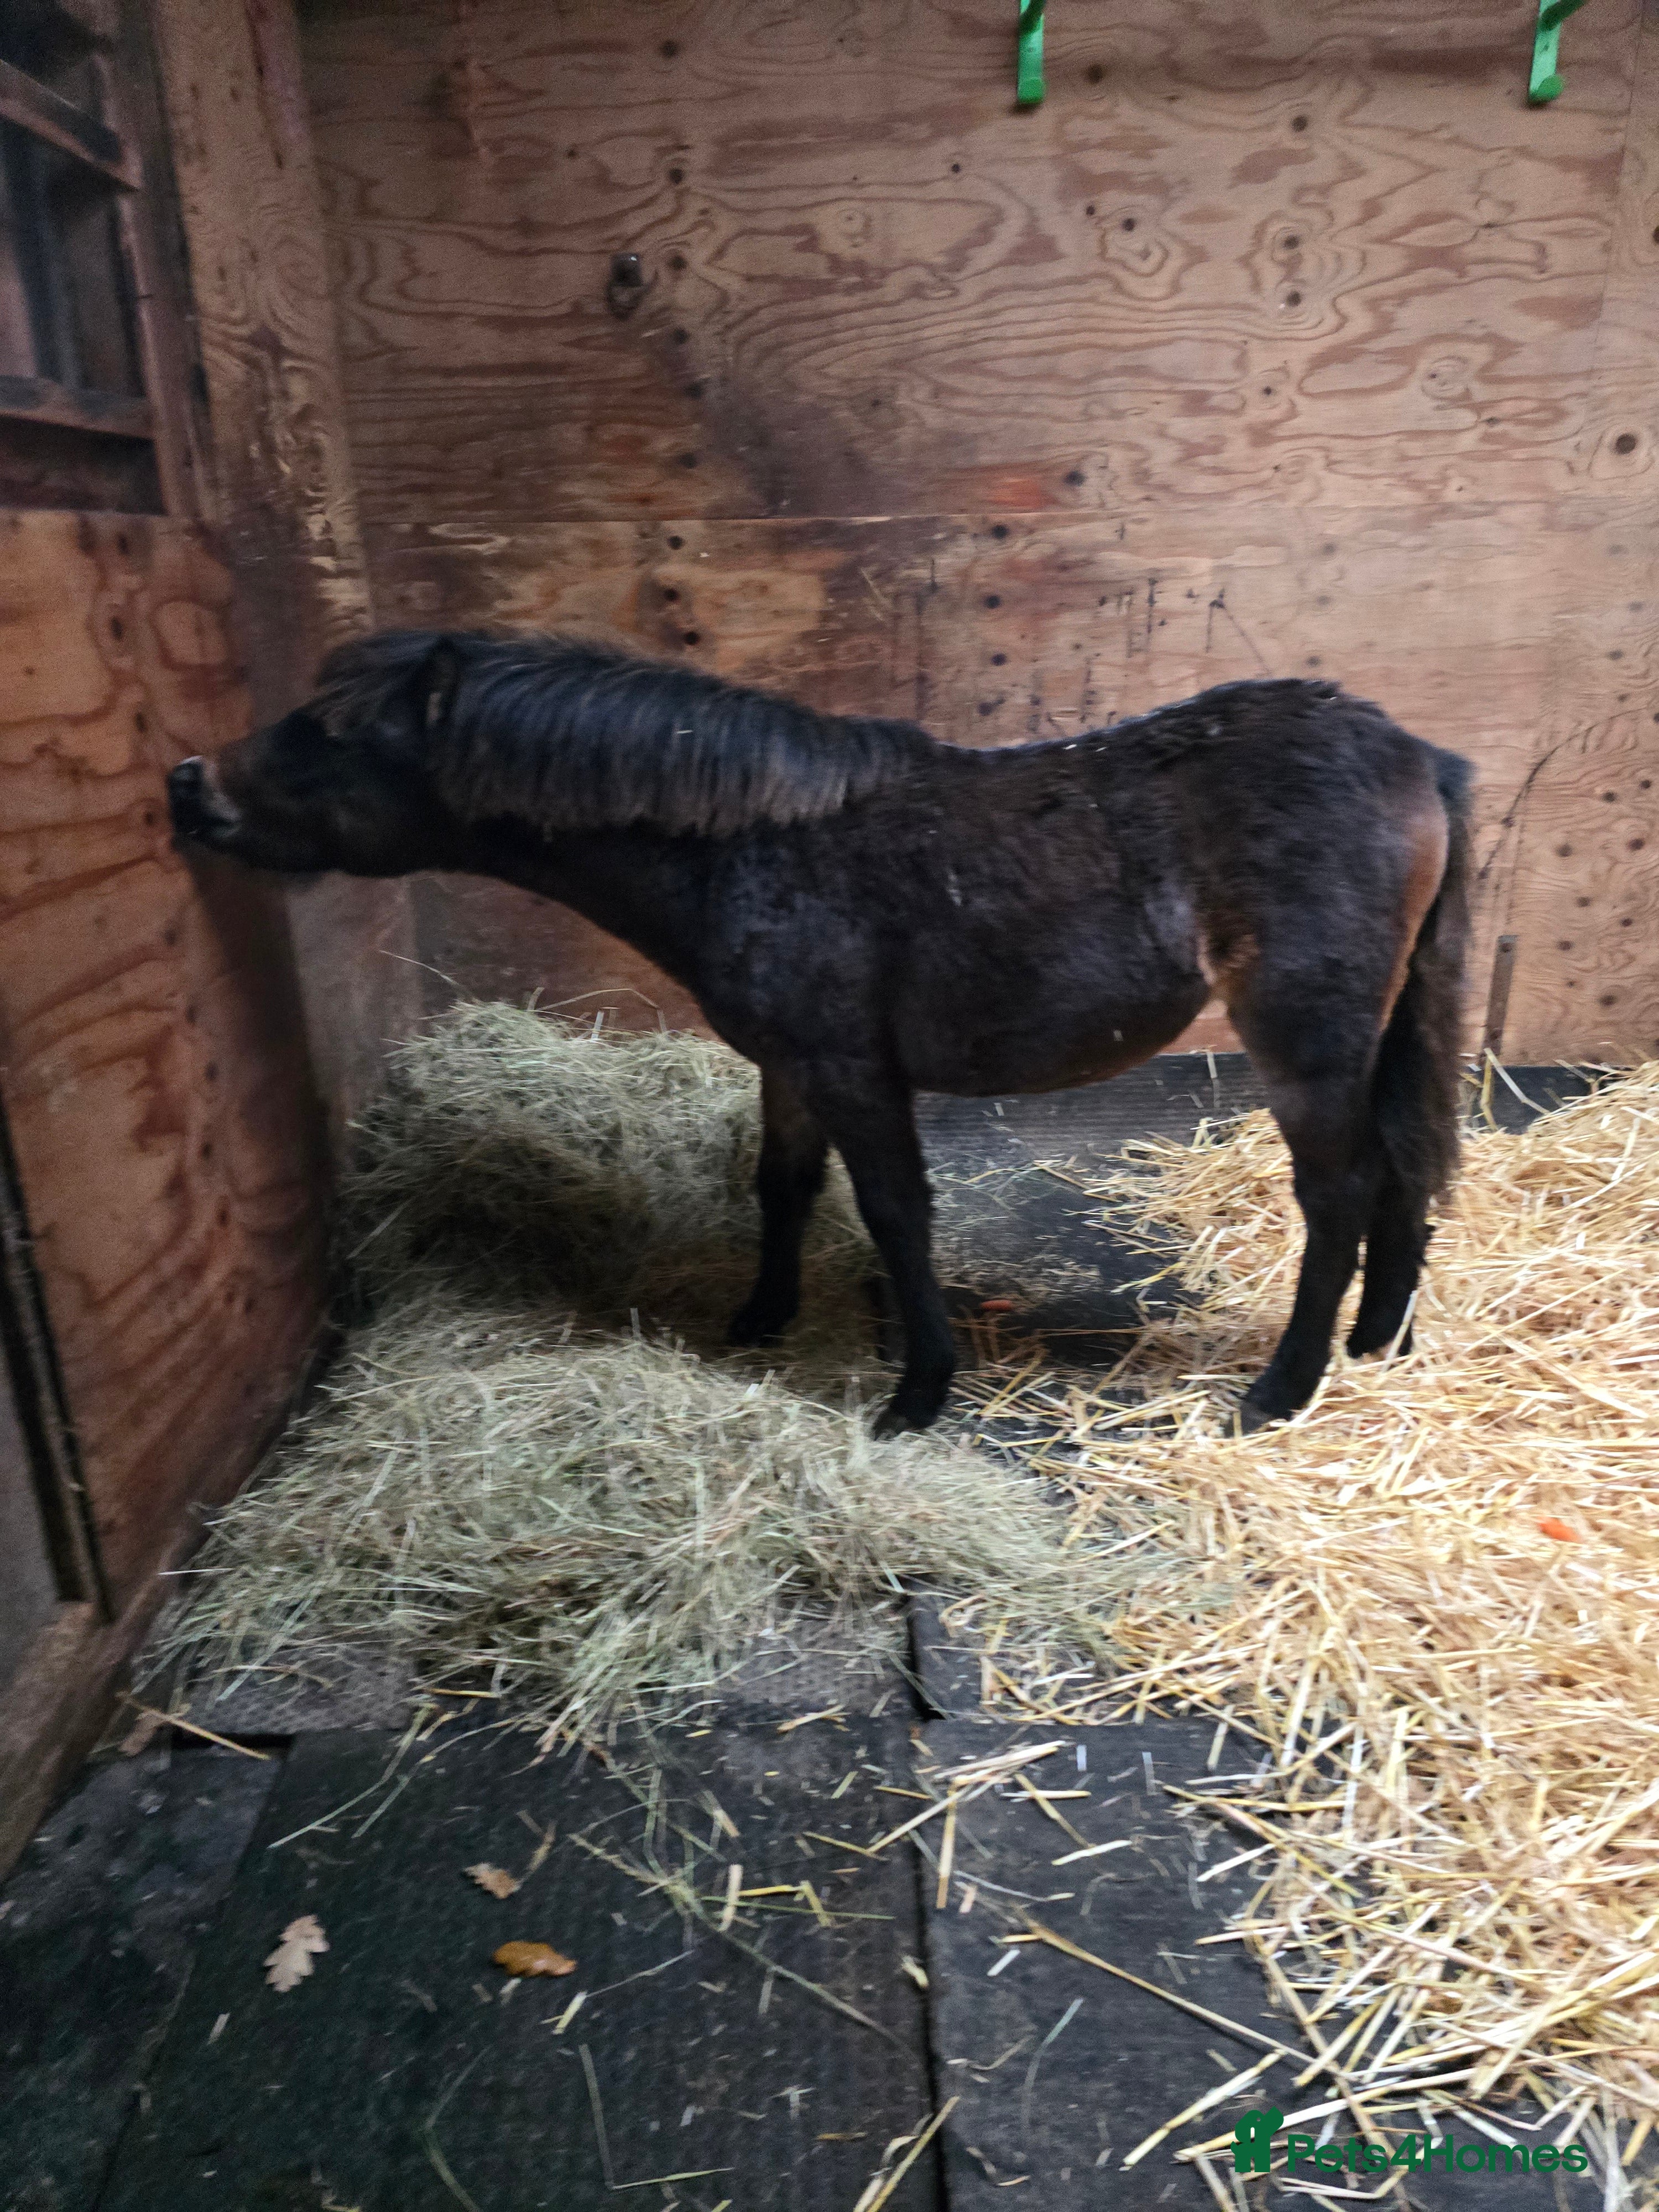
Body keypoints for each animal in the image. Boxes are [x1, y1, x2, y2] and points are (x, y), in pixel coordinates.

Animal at [167, 631, 1471, 1437]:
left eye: (334, 736)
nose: (191, 785)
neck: (754, 847)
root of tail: (1418, 755)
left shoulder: (852, 1070)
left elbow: (895, 1210)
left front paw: (918, 1391)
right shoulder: (791, 1066)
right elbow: (783, 1184)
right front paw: (761, 1317)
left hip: (1302, 1038)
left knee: (1343, 1192)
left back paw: (1285, 1387)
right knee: (1406, 1176)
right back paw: (1378, 1346)